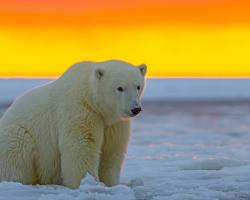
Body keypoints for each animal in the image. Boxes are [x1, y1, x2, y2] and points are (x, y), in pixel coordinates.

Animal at [0, 60, 146, 188]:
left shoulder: (113, 123)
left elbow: (112, 149)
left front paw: (111, 183)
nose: (135, 109)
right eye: (120, 88)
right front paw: (85, 182)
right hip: (17, 136)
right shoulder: (80, 109)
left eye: (138, 86)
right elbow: (83, 145)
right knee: (15, 147)